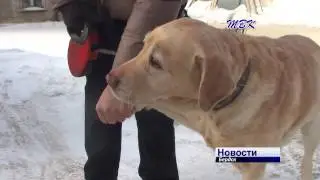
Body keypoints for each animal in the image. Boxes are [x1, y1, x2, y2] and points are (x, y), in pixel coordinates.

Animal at [107, 17, 320, 179]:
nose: (109, 79)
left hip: (311, 132)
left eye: (155, 62)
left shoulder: (253, 166)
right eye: (142, 47)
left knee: (307, 161)